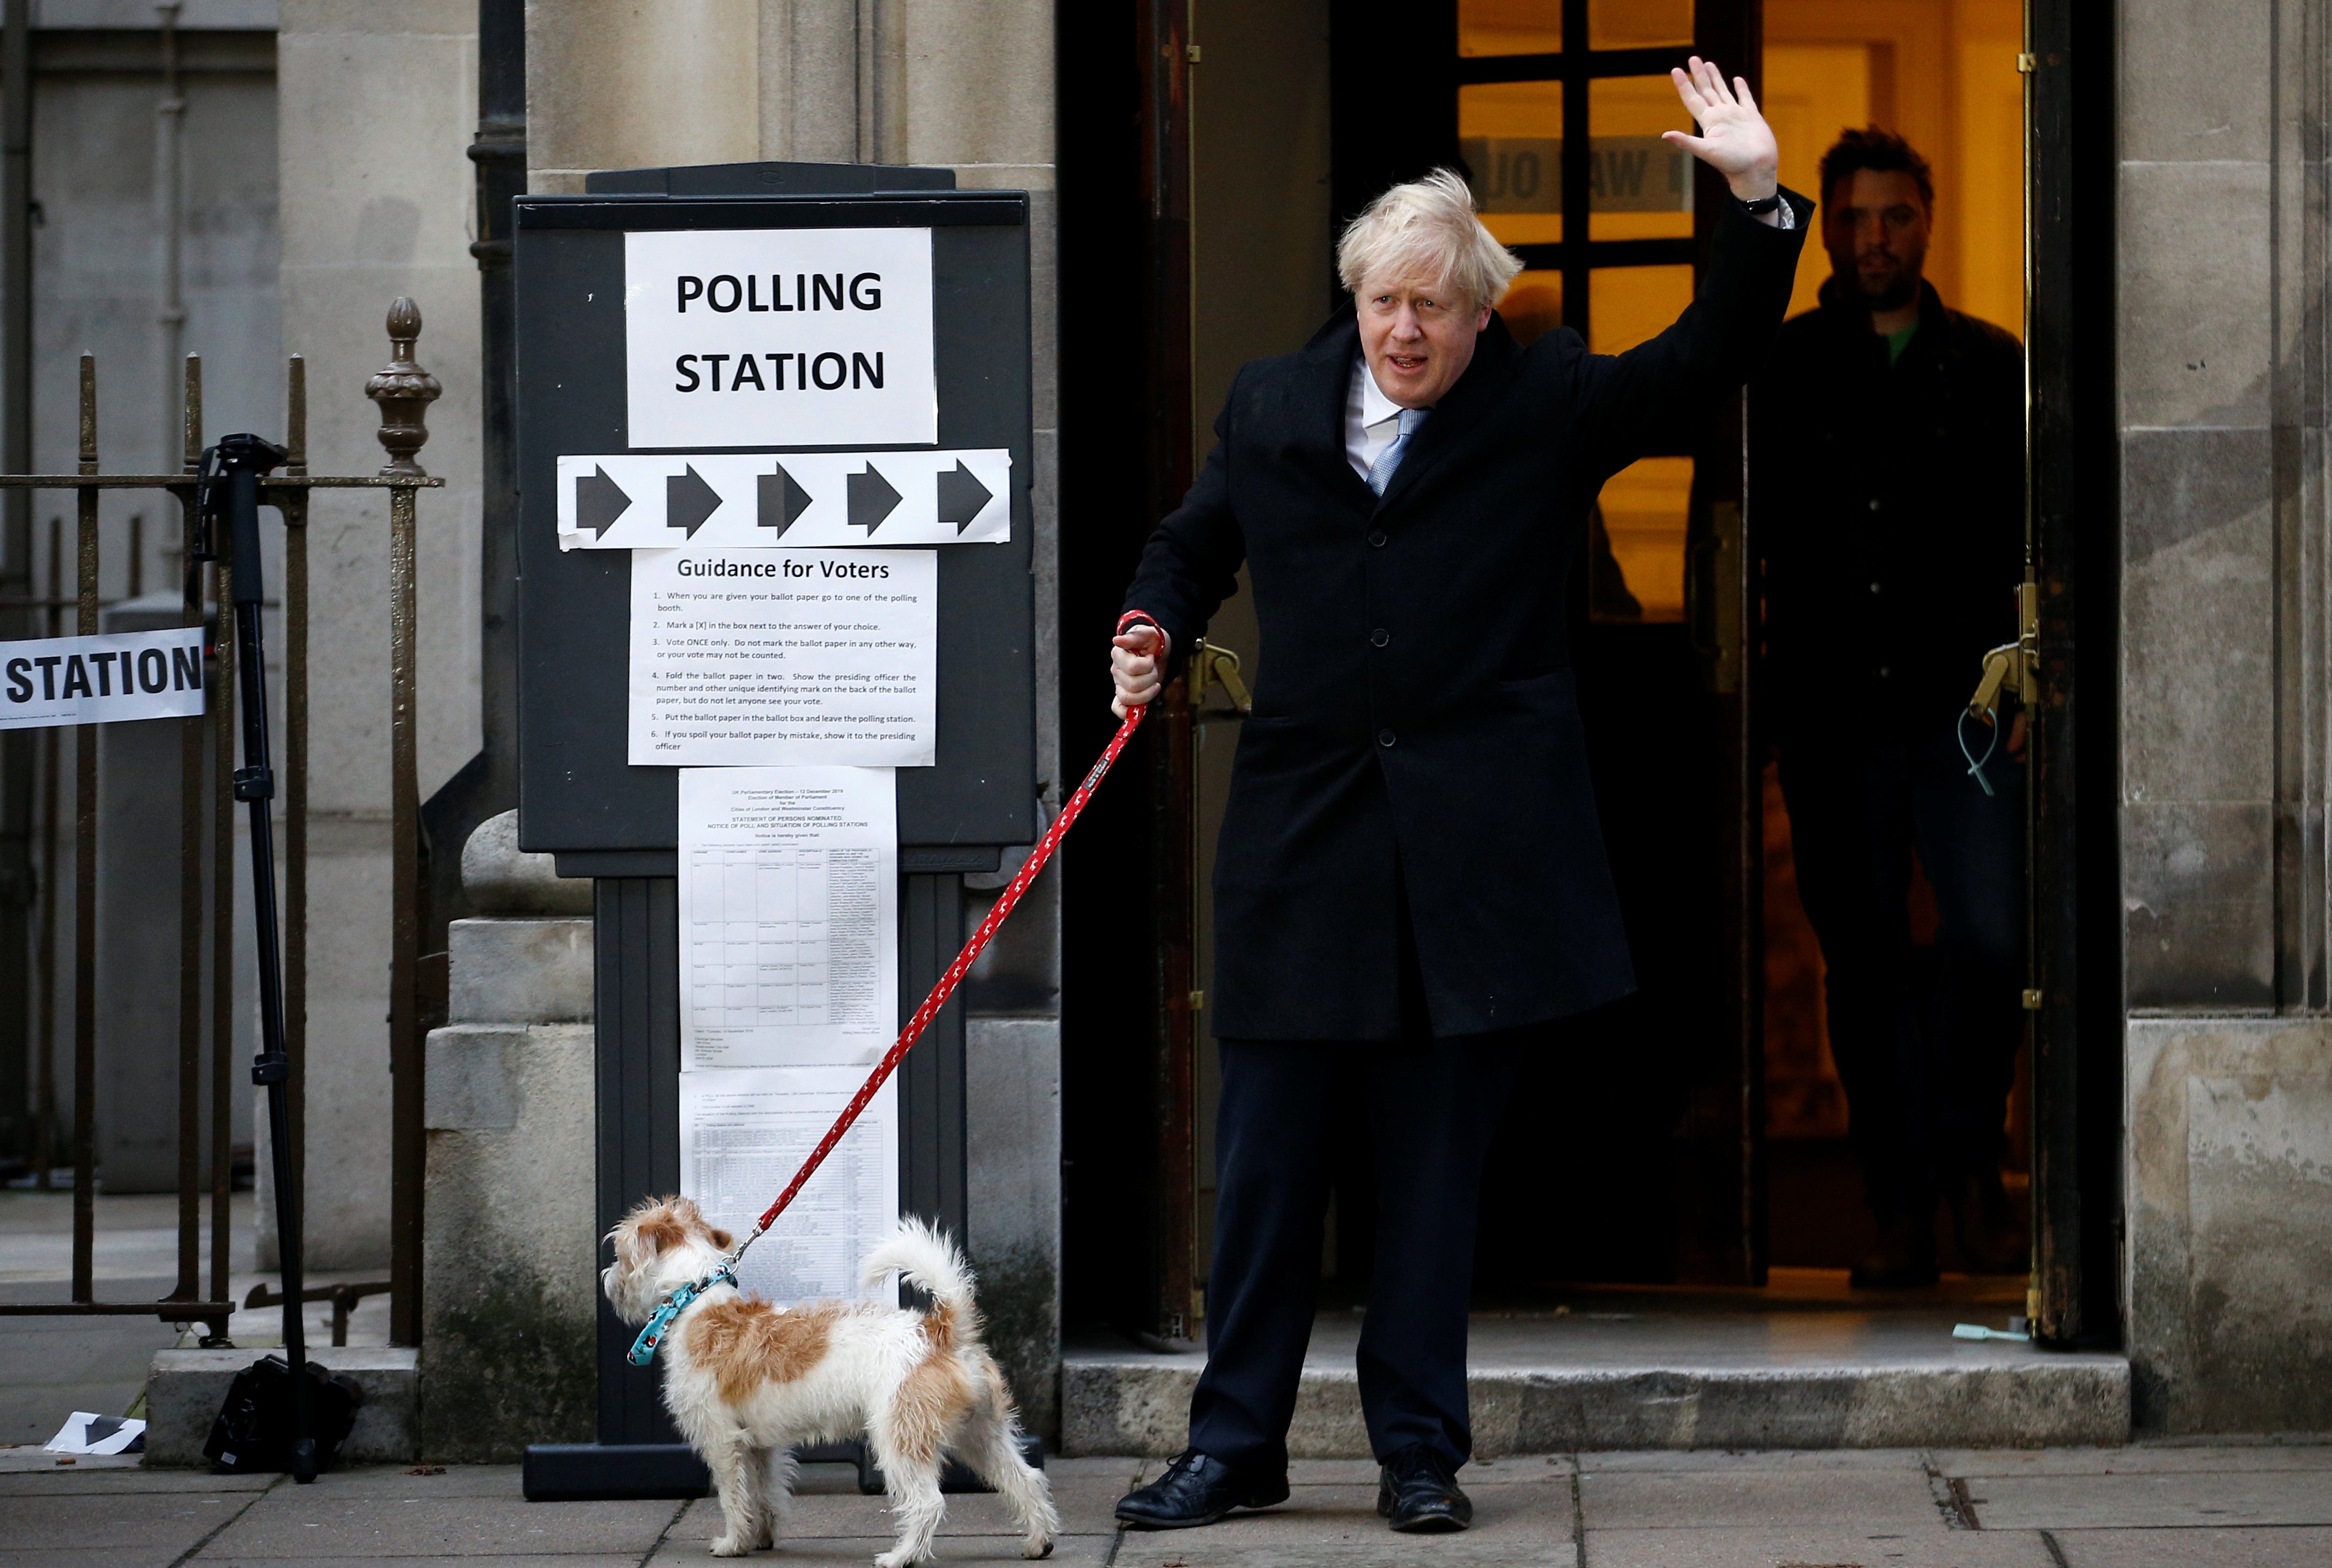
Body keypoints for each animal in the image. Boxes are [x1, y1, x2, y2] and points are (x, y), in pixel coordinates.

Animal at [601, 1195, 1058, 1558]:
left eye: (620, 1253)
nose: (607, 1279)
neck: (695, 1299)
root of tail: (938, 1331)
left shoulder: (722, 1441)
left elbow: (734, 1497)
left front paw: (732, 1543)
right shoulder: (760, 1445)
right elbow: (765, 1493)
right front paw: (762, 1537)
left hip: (900, 1438)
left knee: (928, 1502)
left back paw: (901, 1556)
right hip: (980, 1433)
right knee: (1025, 1479)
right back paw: (1038, 1542)